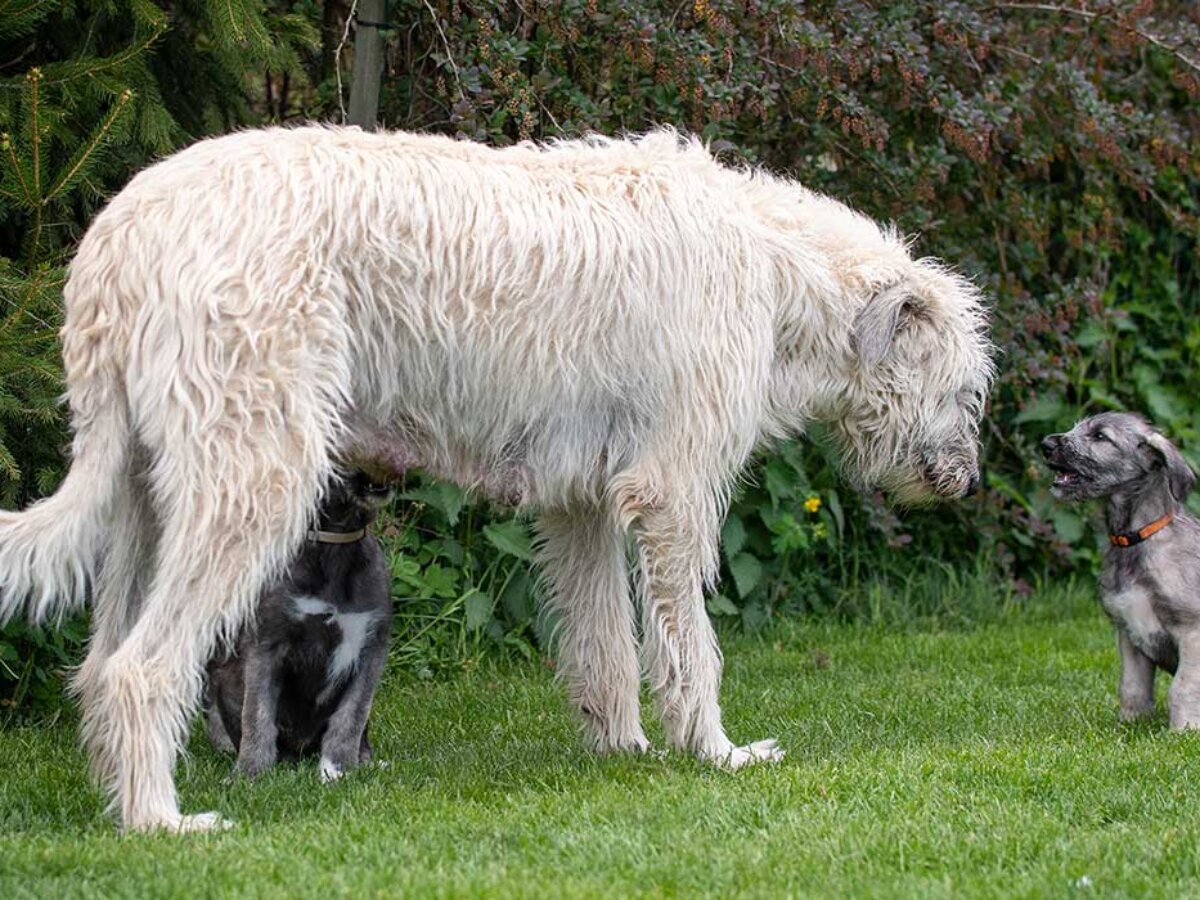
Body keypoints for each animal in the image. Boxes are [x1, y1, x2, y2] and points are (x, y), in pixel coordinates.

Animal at [206, 475, 391, 777]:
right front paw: (250, 772)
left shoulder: (372, 646)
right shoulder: (267, 644)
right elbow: (256, 714)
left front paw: (338, 769)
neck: (335, 540)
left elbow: (352, 716)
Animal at [1041, 412, 1200, 729]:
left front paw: (1183, 729)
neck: (1135, 540)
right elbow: (1132, 687)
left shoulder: (1192, 631)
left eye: (1100, 436)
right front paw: (1130, 724)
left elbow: (1183, 687)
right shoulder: (1128, 633)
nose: (1046, 444)